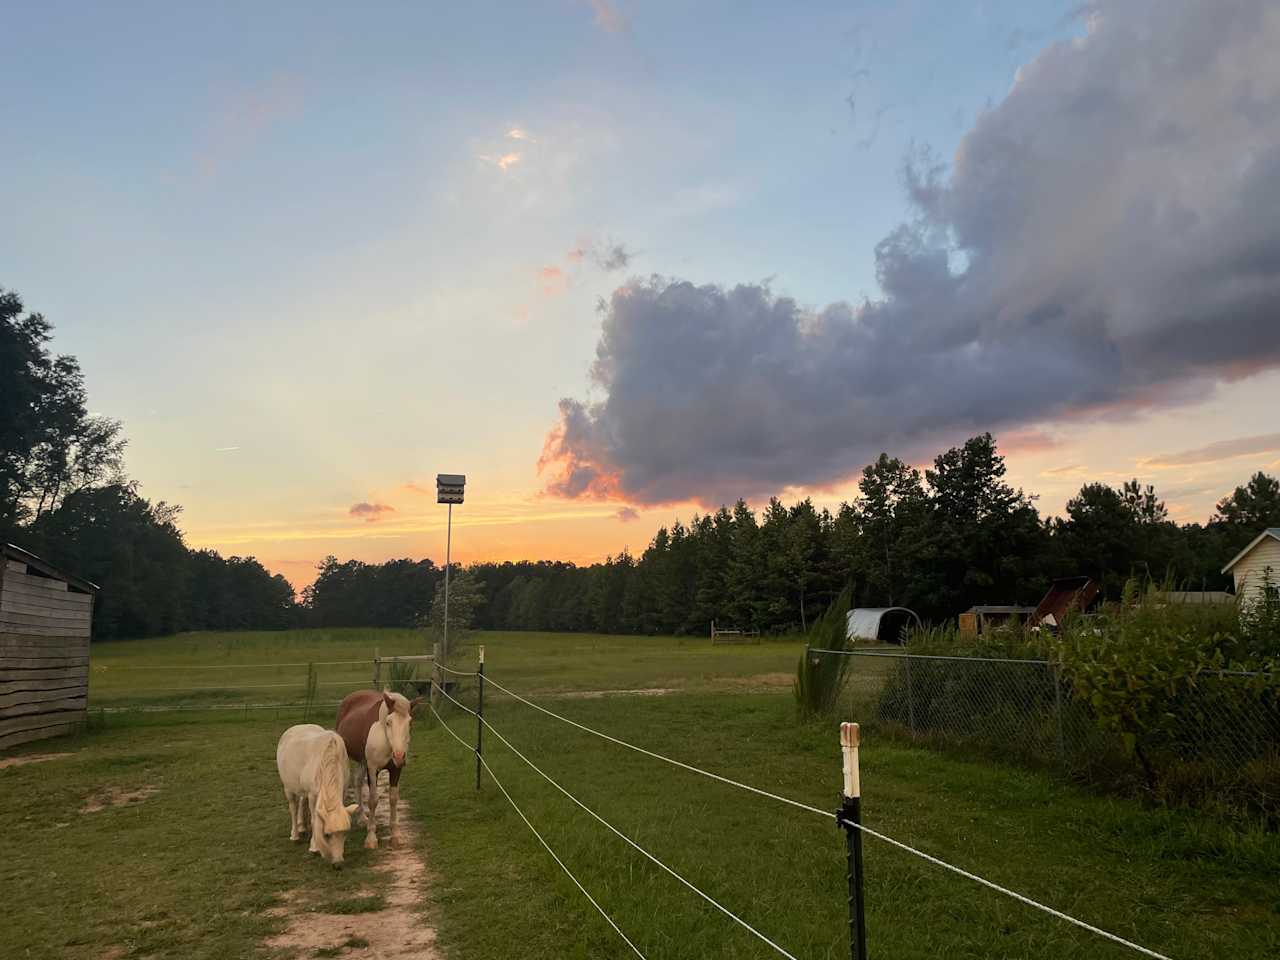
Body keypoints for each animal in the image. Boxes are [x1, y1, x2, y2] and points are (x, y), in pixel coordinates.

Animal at [275, 727, 360, 870]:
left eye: (345, 833)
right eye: (327, 835)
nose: (338, 864)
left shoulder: (342, 791)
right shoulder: (313, 795)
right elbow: (315, 820)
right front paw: (314, 848)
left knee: (302, 801)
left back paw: (302, 827)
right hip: (288, 788)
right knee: (293, 807)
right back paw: (295, 834)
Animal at [335, 691, 419, 849]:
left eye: (410, 723)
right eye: (388, 722)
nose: (399, 756)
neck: (385, 740)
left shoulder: (396, 770)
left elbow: (393, 799)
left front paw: (396, 835)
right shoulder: (372, 769)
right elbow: (373, 800)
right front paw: (371, 838)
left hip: (362, 761)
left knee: (357, 782)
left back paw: (362, 818)